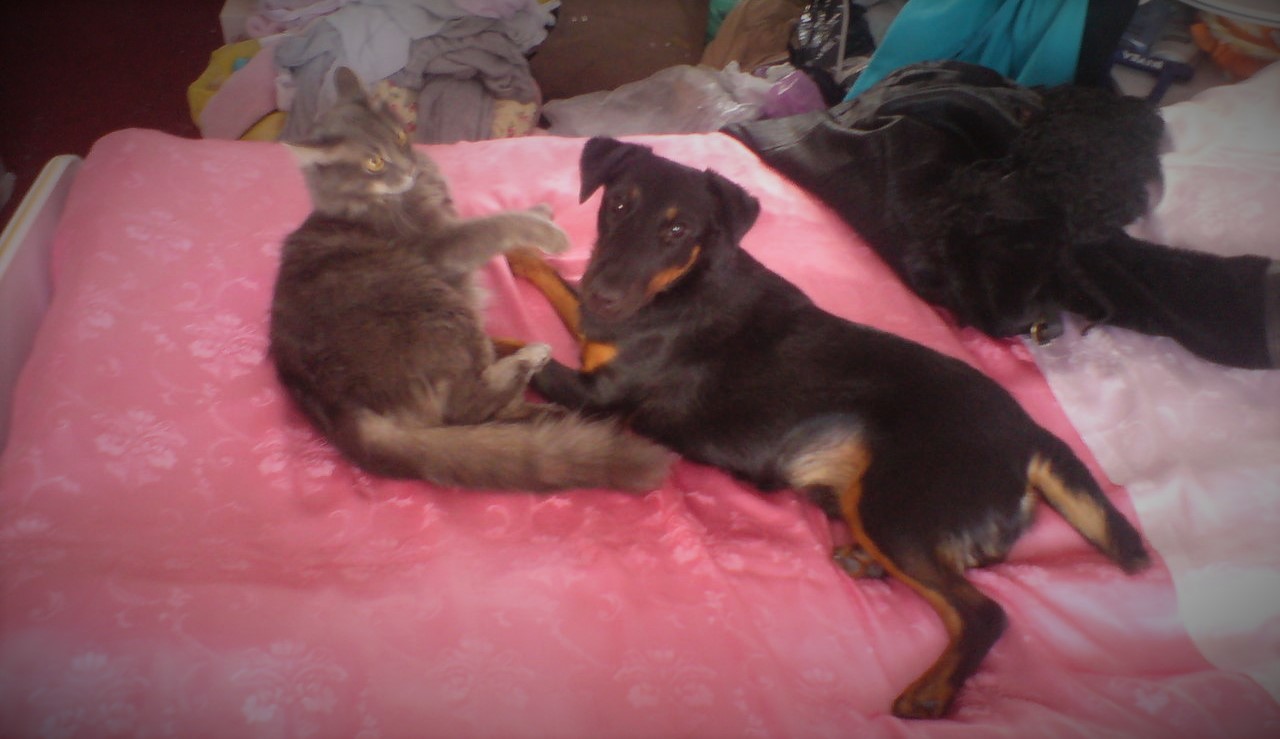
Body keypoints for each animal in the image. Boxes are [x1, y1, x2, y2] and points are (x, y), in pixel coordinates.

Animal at [268, 67, 670, 492]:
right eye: (374, 162)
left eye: (399, 137)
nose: (407, 167)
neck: (375, 201)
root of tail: (340, 415)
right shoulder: (442, 243)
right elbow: (496, 224)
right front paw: (548, 232)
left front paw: (542, 211)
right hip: (439, 305)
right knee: (467, 408)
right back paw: (531, 359)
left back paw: (549, 411)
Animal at [506, 137, 1151, 719]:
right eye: (617, 205)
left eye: (677, 230)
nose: (606, 293)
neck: (680, 286)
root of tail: (1030, 436)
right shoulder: (592, 332)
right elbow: (560, 293)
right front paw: (522, 255)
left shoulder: (600, 393)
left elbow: (518, 345)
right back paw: (867, 567)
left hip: (898, 505)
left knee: (983, 612)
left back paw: (931, 693)